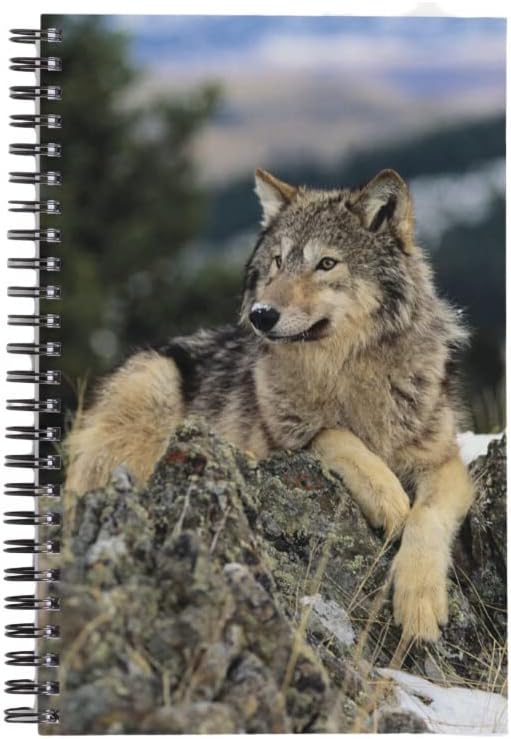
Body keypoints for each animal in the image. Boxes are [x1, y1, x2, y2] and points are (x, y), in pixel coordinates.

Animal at [66, 167, 475, 642]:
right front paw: (388, 497)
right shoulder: (278, 442)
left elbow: (427, 518)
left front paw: (420, 603)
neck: (345, 373)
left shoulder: (444, 462)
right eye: (279, 261)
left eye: (327, 263)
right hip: (155, 384)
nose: (261, 314)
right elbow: (332, 435)